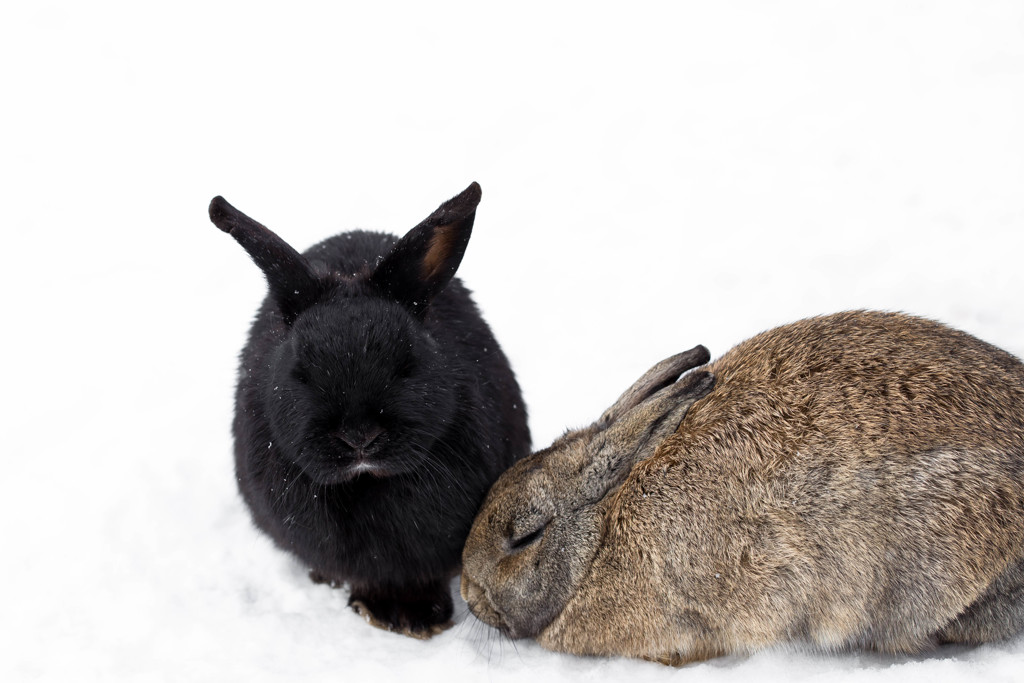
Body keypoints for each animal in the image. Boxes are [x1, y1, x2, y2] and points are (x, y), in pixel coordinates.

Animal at [206, 184, 528, 638]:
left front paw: (417, 618)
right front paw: (391, 614)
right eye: (300, 371)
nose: (359, 435)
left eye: (407, 363)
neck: (366, 482)